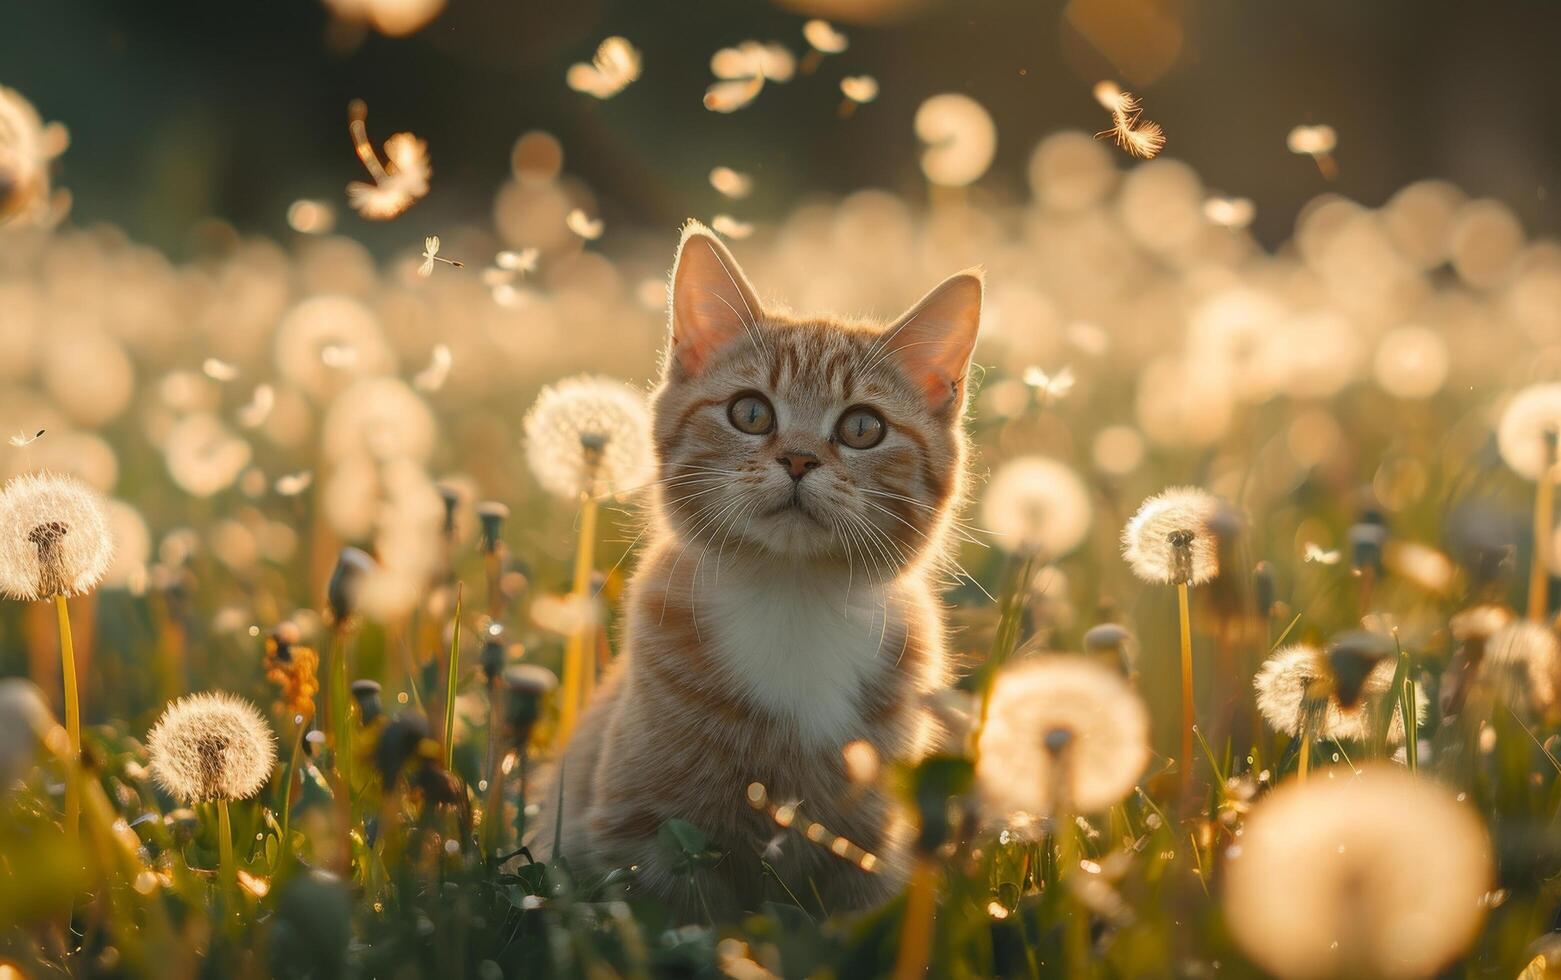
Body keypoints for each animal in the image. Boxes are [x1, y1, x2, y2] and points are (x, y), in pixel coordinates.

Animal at [530, 221, 980, 917]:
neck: (792, 603)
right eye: (750, 413)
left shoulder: (871, 852)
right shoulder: (640, 838)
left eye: (862, 427)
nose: (797, 459)